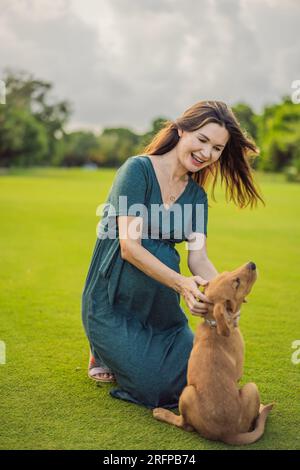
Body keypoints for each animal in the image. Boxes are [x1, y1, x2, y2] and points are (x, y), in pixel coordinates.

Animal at [154, 262, 274, 446]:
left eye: (228, 272)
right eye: (236, 283)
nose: (252, 264)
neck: (214, 324)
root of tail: (227, 433)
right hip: (247, 388)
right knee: (184, 424)